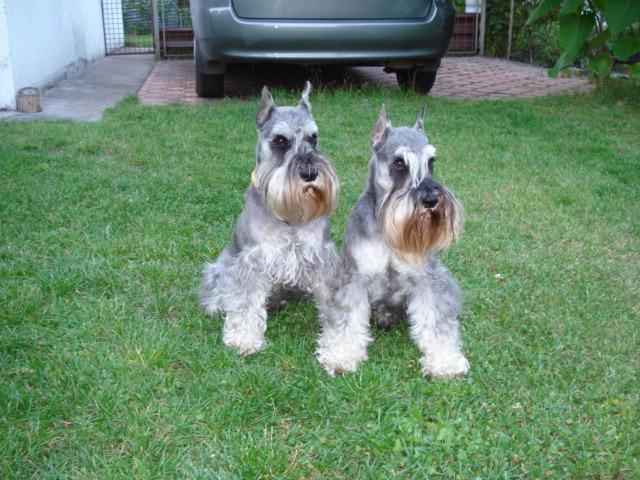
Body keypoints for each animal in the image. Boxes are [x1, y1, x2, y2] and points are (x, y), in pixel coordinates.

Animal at [200, 82, 340, 356]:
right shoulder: (251, 263)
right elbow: (245, 303)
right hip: (221, 267)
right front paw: (243, 339)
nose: (310, 173)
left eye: (313, 137)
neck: (290, 218)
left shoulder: (321, 259)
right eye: (280, 140)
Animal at [316, 105, 470, 378]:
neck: (387, 230)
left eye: (432, 162)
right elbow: (346, 320)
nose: (431, 199)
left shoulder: (426, 281)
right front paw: (341, 356)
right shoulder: (353, 278)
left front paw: (445, 362)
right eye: (399, 162)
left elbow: (436, 322)